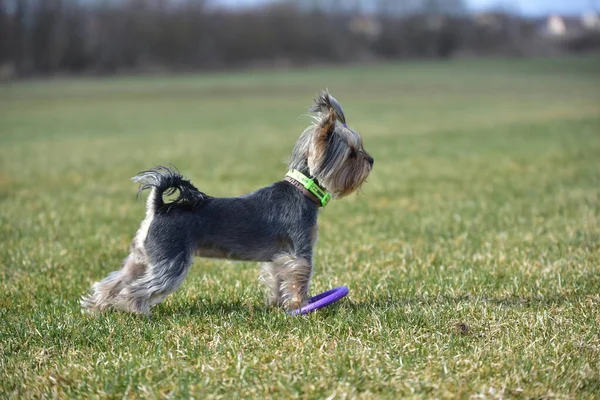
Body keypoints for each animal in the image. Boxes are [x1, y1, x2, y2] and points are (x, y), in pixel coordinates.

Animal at [79, 90, 370, 316]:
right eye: (352, 154)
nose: (371, 160)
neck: (303, 188)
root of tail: (158, 208)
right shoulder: (300, 251)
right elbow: (299, 279)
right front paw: (301, 306)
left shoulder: (279, 258)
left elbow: (277, 279)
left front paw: (279, 305)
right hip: (170, 260)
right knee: (136, 287)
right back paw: (135, 310)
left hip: (142, 257)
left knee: (113, 281)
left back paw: (97, 307)